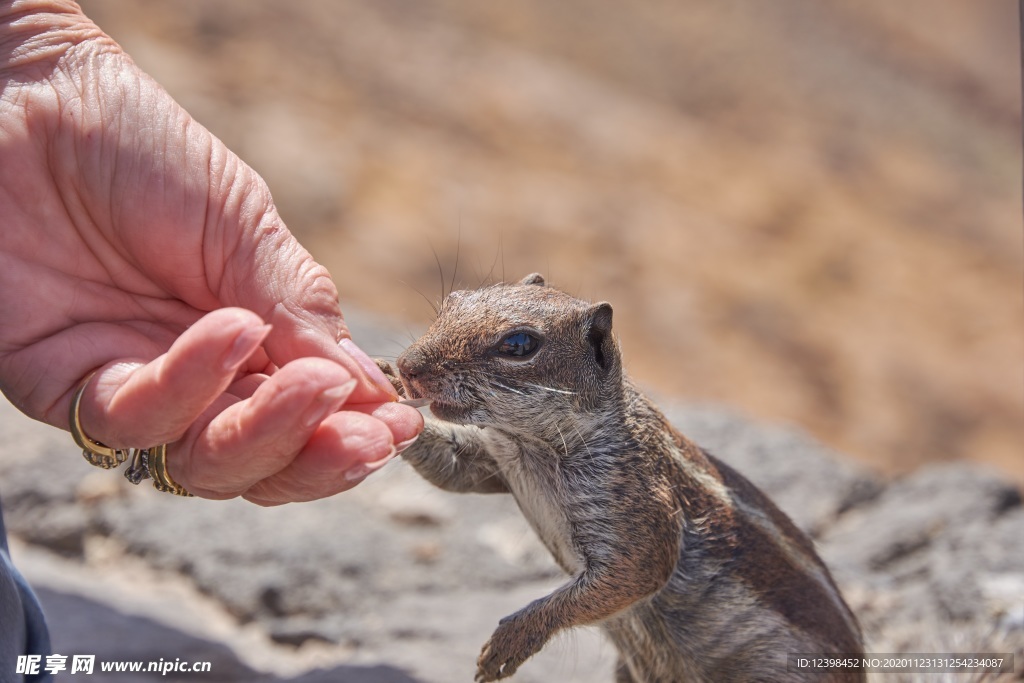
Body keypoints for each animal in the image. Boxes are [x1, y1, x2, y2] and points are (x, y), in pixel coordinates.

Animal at [382, 274, 864, 679]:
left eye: (518, 344)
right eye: (453, 298)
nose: (409, 366)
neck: (531, 448)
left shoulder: (640, 508)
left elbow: (634, 574)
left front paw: (509, 641)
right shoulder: (492, 461)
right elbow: (453, 472)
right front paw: (384, 388)